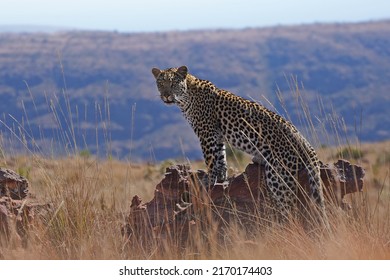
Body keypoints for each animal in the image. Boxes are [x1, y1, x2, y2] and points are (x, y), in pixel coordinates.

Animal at [152, 65, 330, 225]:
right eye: (160, 83)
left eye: (173, 84)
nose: (166, 95)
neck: (186, 97)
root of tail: (304, 141)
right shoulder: (217, 136)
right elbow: (221, 157)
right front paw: (222, 177)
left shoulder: (206, 133)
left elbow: (210, 159)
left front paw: (208, 181)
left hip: (278, 175)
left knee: (289, 208)